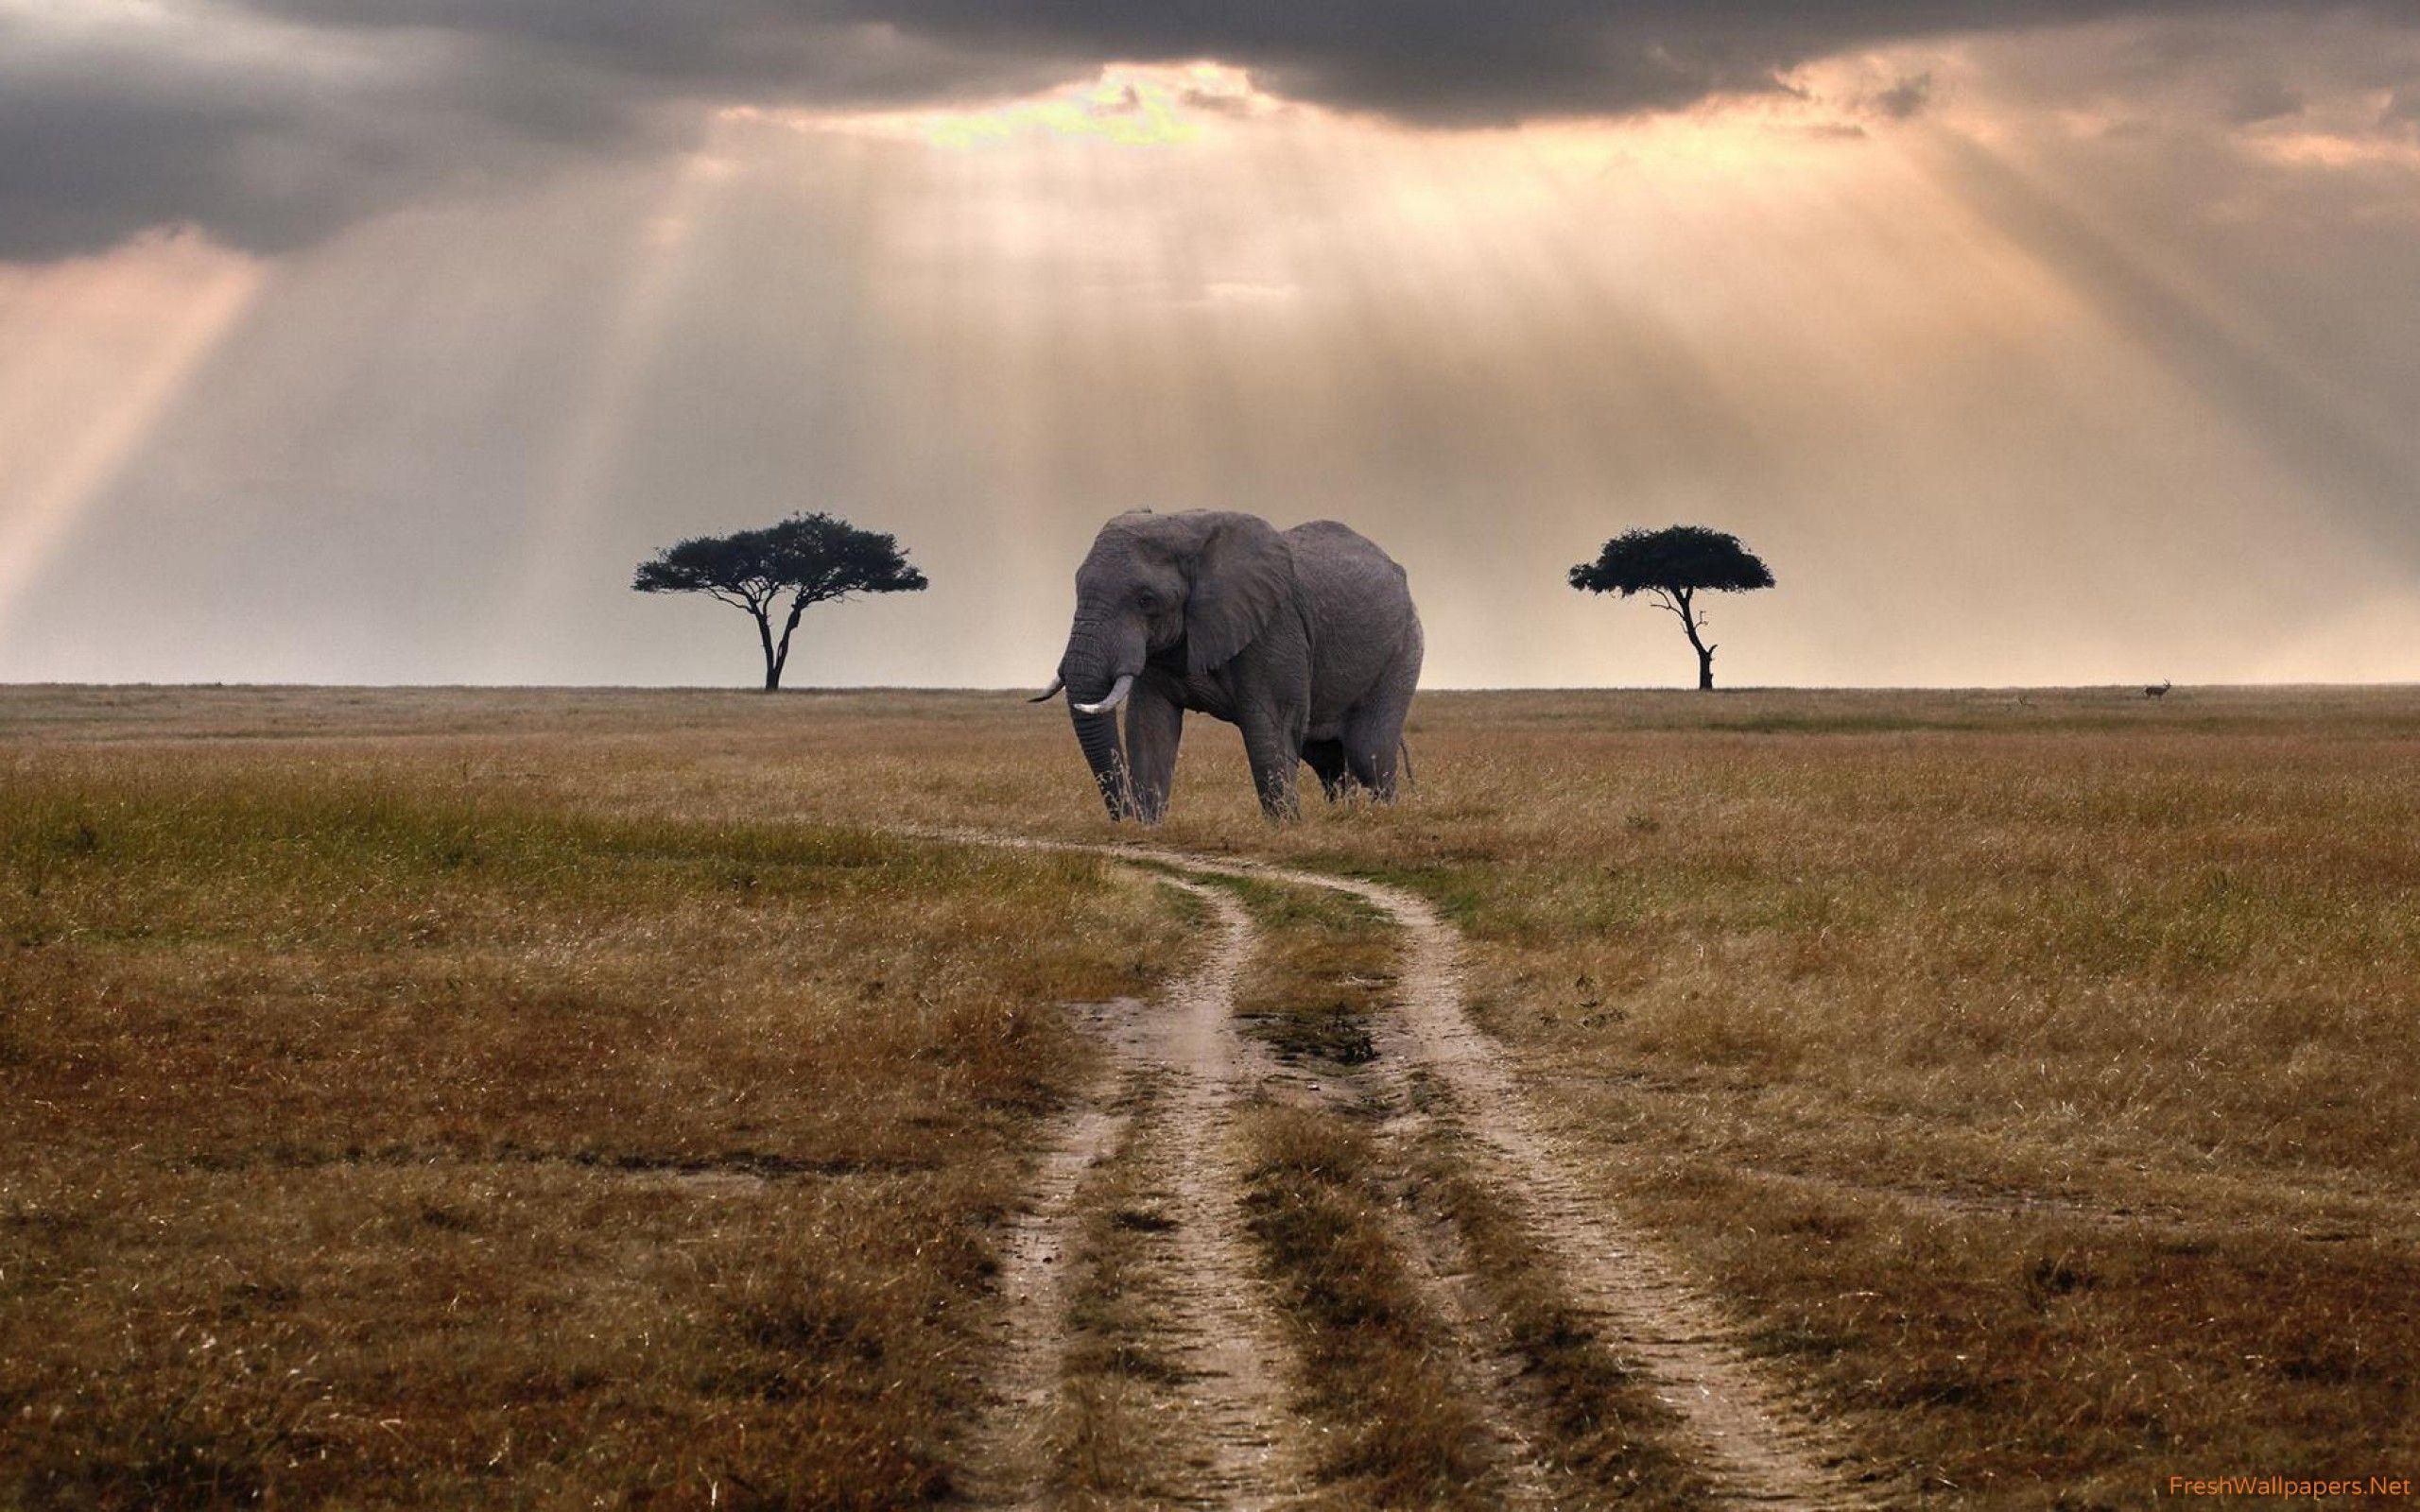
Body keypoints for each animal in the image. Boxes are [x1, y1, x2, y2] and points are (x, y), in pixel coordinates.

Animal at [1031, 509, 1423, 822]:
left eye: (1146, 600)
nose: (1125, 817)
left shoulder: (1274, 627)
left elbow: (1270, 726)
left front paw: (1286, 829)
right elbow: (1148, 725)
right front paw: (1149, 826)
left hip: (1402, 650)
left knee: (1367, 752)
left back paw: (1383, 819)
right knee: (1327, 759)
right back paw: (1343, 818)